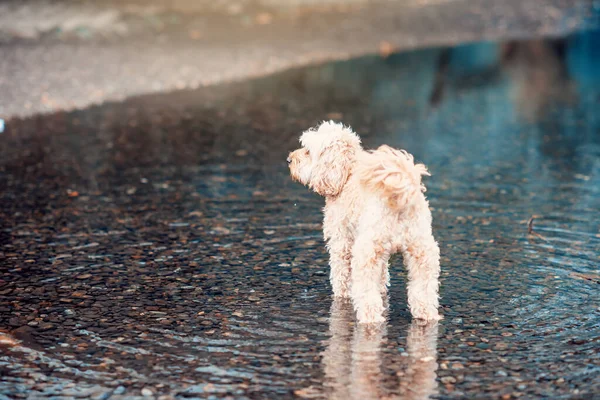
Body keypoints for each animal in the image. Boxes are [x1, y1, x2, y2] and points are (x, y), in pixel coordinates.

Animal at [288, 120, 440, 324]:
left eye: (307, 151)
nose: (289, 159)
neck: (347, 174)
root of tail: (398, 196)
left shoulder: (341, 241)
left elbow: (341, 274)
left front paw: (342, 294)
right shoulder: (383, 254)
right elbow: (382, 275)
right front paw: (382, 288)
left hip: (366, 251)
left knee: (367, 294)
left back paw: (370, 317)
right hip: (422, 252)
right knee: (424, 291)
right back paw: (427, 315)